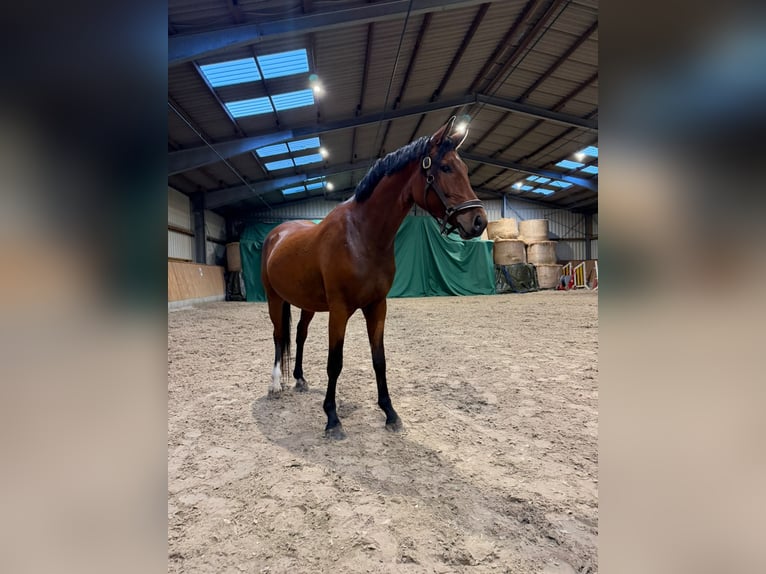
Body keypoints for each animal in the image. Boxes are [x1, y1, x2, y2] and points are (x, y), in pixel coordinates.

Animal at [260, 116, 487, 439]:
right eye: (445, 168)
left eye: (465, 169)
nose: (479, 221)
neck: (361, 235)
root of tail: (276, 234)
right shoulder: (339, 311)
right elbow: (335, 363)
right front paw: (332, 418)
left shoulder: (377, 306)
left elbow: (379, 360)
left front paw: (390, 413)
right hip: (274, 299)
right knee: (279, 336)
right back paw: (275, 384)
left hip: (307, 304)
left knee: (300, 335)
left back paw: (300, 379)